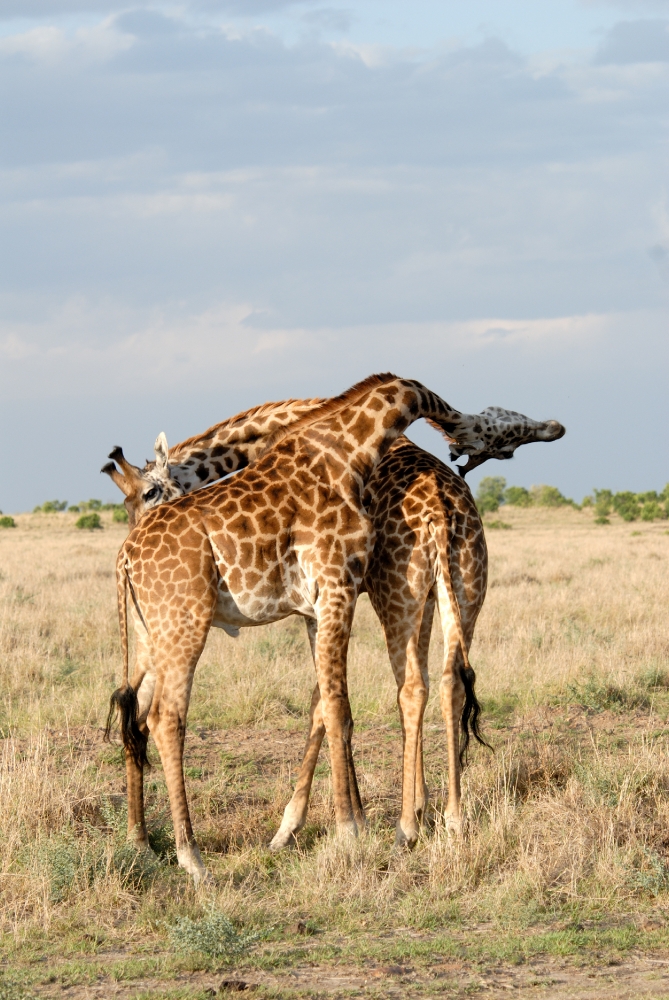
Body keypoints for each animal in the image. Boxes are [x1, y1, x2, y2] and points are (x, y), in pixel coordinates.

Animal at [104, 376, 564, 884]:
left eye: (148, 493)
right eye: (506, 433)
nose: (555, 427)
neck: (344, 445)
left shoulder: (325, 601)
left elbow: (326, 706)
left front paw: (345, 821)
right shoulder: (335, 592)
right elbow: (336, 707)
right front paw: (350, 827)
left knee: (138, 710)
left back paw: (146, 844)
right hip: (200, 621)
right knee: (163, 715)